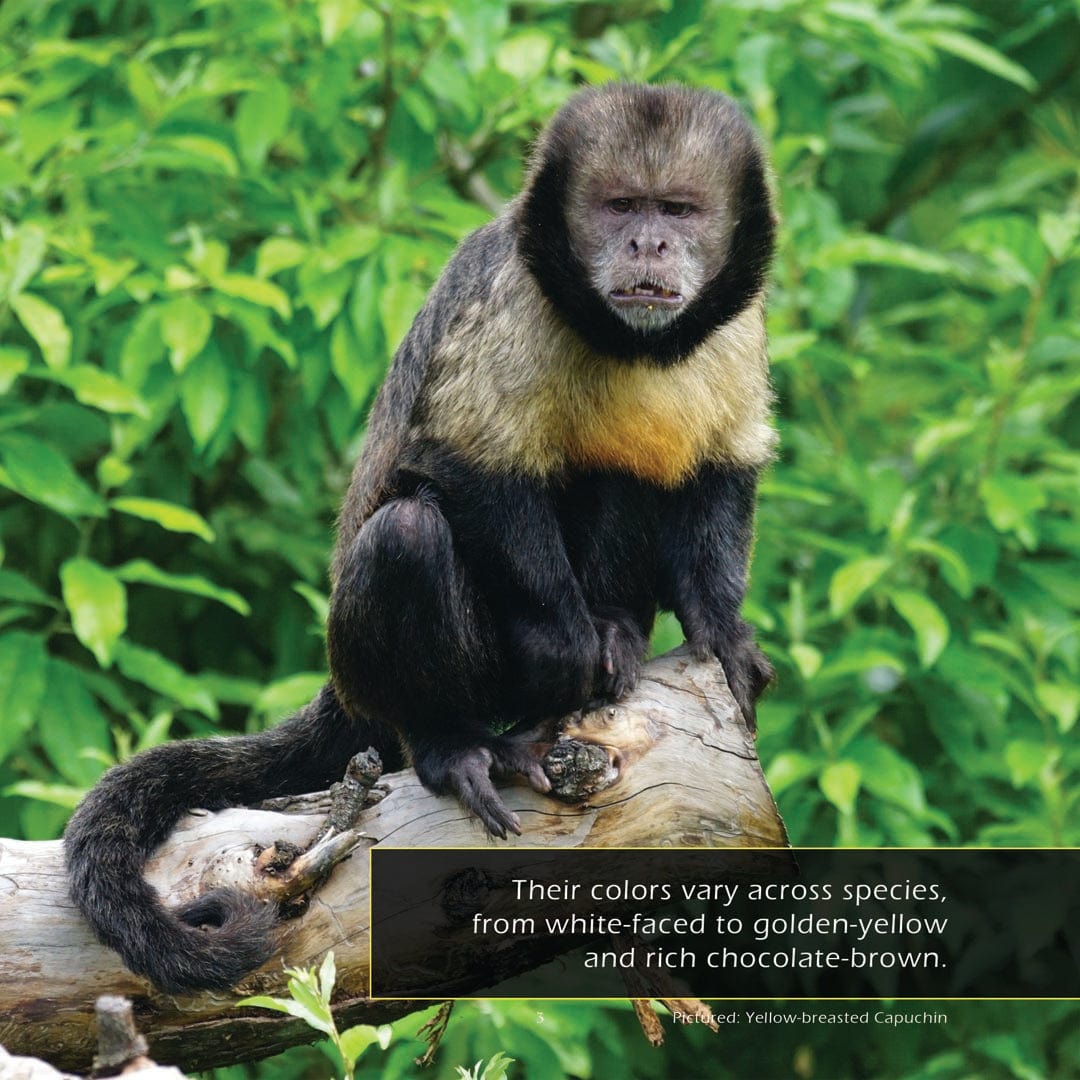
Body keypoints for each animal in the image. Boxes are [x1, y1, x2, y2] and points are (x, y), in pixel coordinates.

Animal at [64, 83, 776, 994]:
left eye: (677, 210)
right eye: (621, 206)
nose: (647, 242)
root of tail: (344, 688)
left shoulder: (740, 322)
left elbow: (721, 466)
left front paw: (720, 632)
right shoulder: (516, 296)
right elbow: (462, 464)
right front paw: (564, 644)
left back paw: (617, 629)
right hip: (393, 677)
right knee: (407, 534)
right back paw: (456, 746)